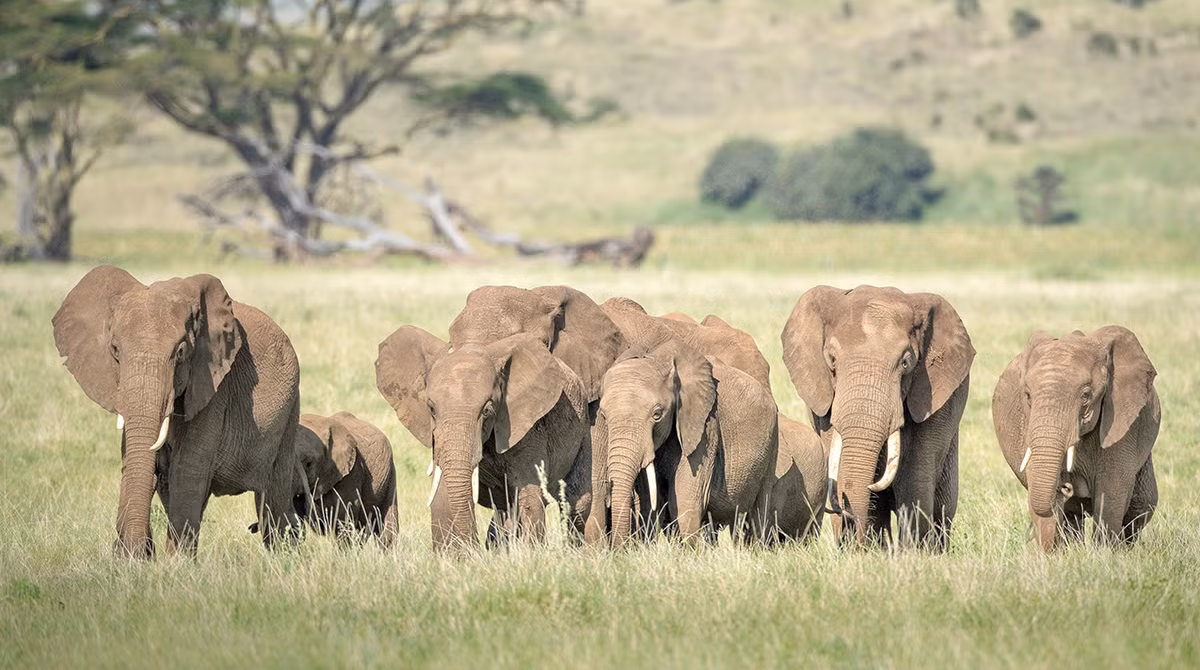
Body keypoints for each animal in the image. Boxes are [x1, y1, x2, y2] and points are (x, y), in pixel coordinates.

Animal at [52, 265, 301, 559]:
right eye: (114, 349)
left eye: (180, 352)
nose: (139, 551)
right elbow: (141, 465)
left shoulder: (214, 385)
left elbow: (187, 468)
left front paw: (175, 564)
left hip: (290, 410)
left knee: (273, 495)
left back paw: (283, 557)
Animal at [376, 328, 590, 551]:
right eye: (431, 408)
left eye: (487, 410)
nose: (474, 547)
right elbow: (443, 494)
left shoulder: (528, 429)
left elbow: (528, 494)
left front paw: (530, 552)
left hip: (584, 430)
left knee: (576, 503)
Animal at [585, 299, 778, 547]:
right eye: (604, 415)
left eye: (657, 414)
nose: (619, 550)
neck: (660, 360)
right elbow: (651, 502)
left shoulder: (705, 424)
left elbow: (686, 501)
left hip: (772, 442)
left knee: (758, 511)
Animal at [781, 285, 975, 550]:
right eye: (832, 360)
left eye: (906, 362)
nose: (845, 513)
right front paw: (868, 553)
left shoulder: (937, 400)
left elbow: (915, 475)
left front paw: (912, 554)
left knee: (943, 510)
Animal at [992, 326, 1160, 551]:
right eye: (1027, 395)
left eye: (1086, 395)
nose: (1065, 486)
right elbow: (1037, 485)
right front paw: (1051, 555)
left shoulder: (1124, 424)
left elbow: (1112, 490)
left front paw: (1103, 554)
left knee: (1141, 506)